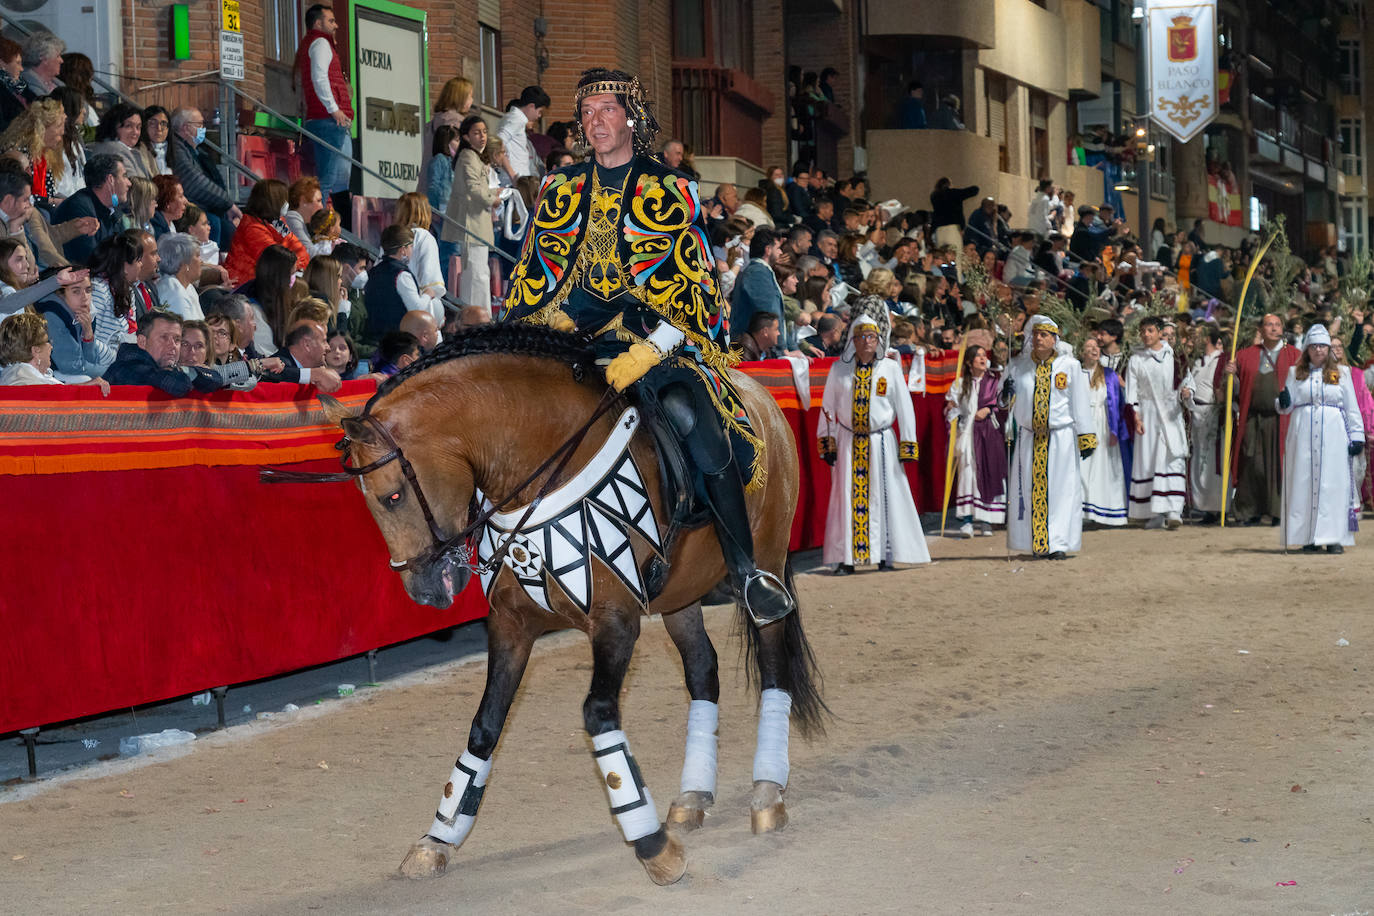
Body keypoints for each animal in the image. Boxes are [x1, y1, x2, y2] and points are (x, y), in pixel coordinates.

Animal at [316, 325, 818, 884]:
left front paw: (650, 843)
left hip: (767, 554)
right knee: (702, 670)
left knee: (772, 663)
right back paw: (692, 797)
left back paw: (767, 793)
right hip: (679, 595)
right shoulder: (512, 625)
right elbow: (484, 727)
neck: (541, 470)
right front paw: (438, 838)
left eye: (394, 496)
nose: (425, 591)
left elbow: (598, 715)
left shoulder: (616, 622)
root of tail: (759, 396)